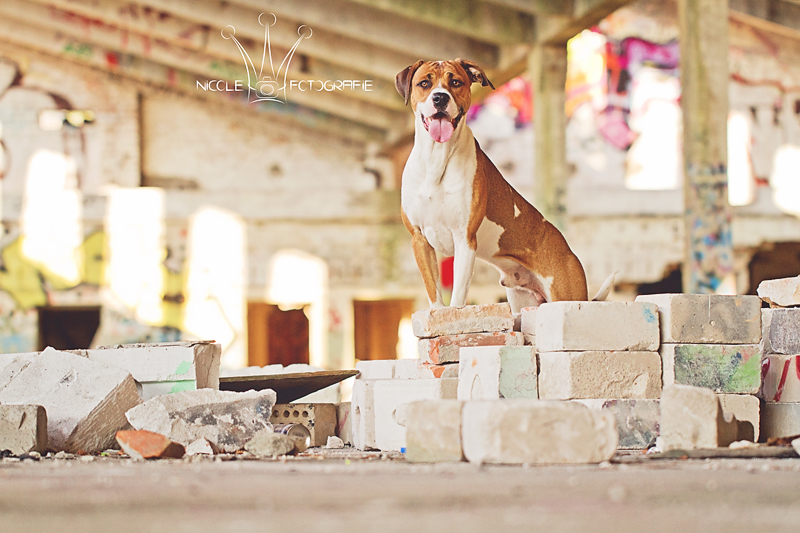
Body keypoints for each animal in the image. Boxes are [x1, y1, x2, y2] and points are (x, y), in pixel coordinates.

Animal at [394, 58, 612, 312]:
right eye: (424, 83)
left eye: (455, 82)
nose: (440, 98)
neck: (437, 158)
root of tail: (567, 251)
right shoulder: (419, 239)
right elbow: (433, 291)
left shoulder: (464, 239)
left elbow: (458, 297)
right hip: (521, 301)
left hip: (566, 295)